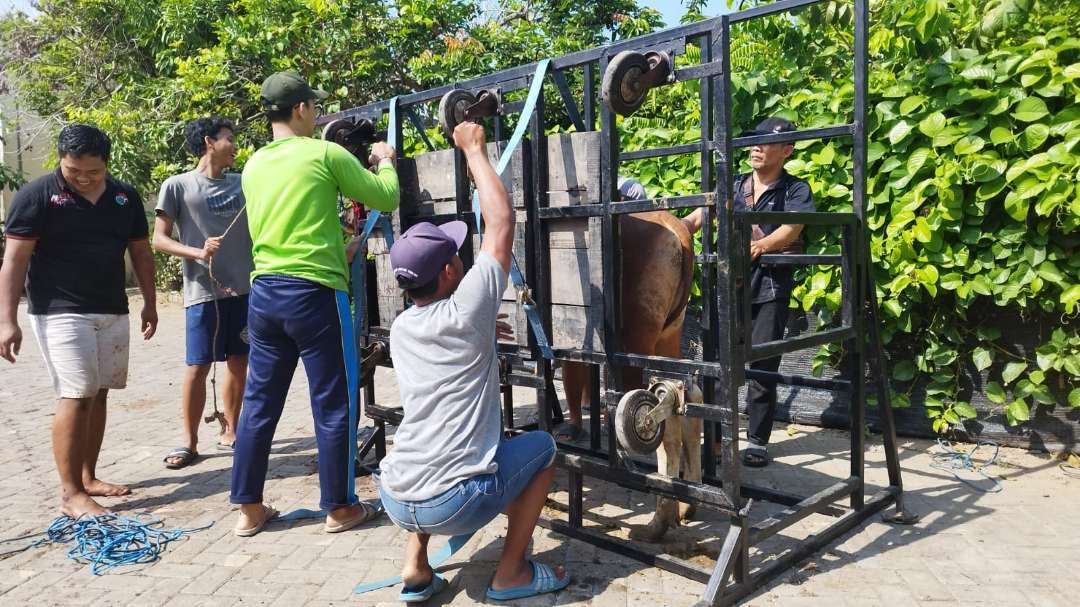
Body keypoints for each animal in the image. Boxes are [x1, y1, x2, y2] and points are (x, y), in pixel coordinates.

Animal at [561, 203, 704, 537]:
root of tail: (679, 229)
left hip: (637, 339)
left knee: (660, 411)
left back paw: (659, 521)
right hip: (670, 332)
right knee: (686, 396)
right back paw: (688, 504)